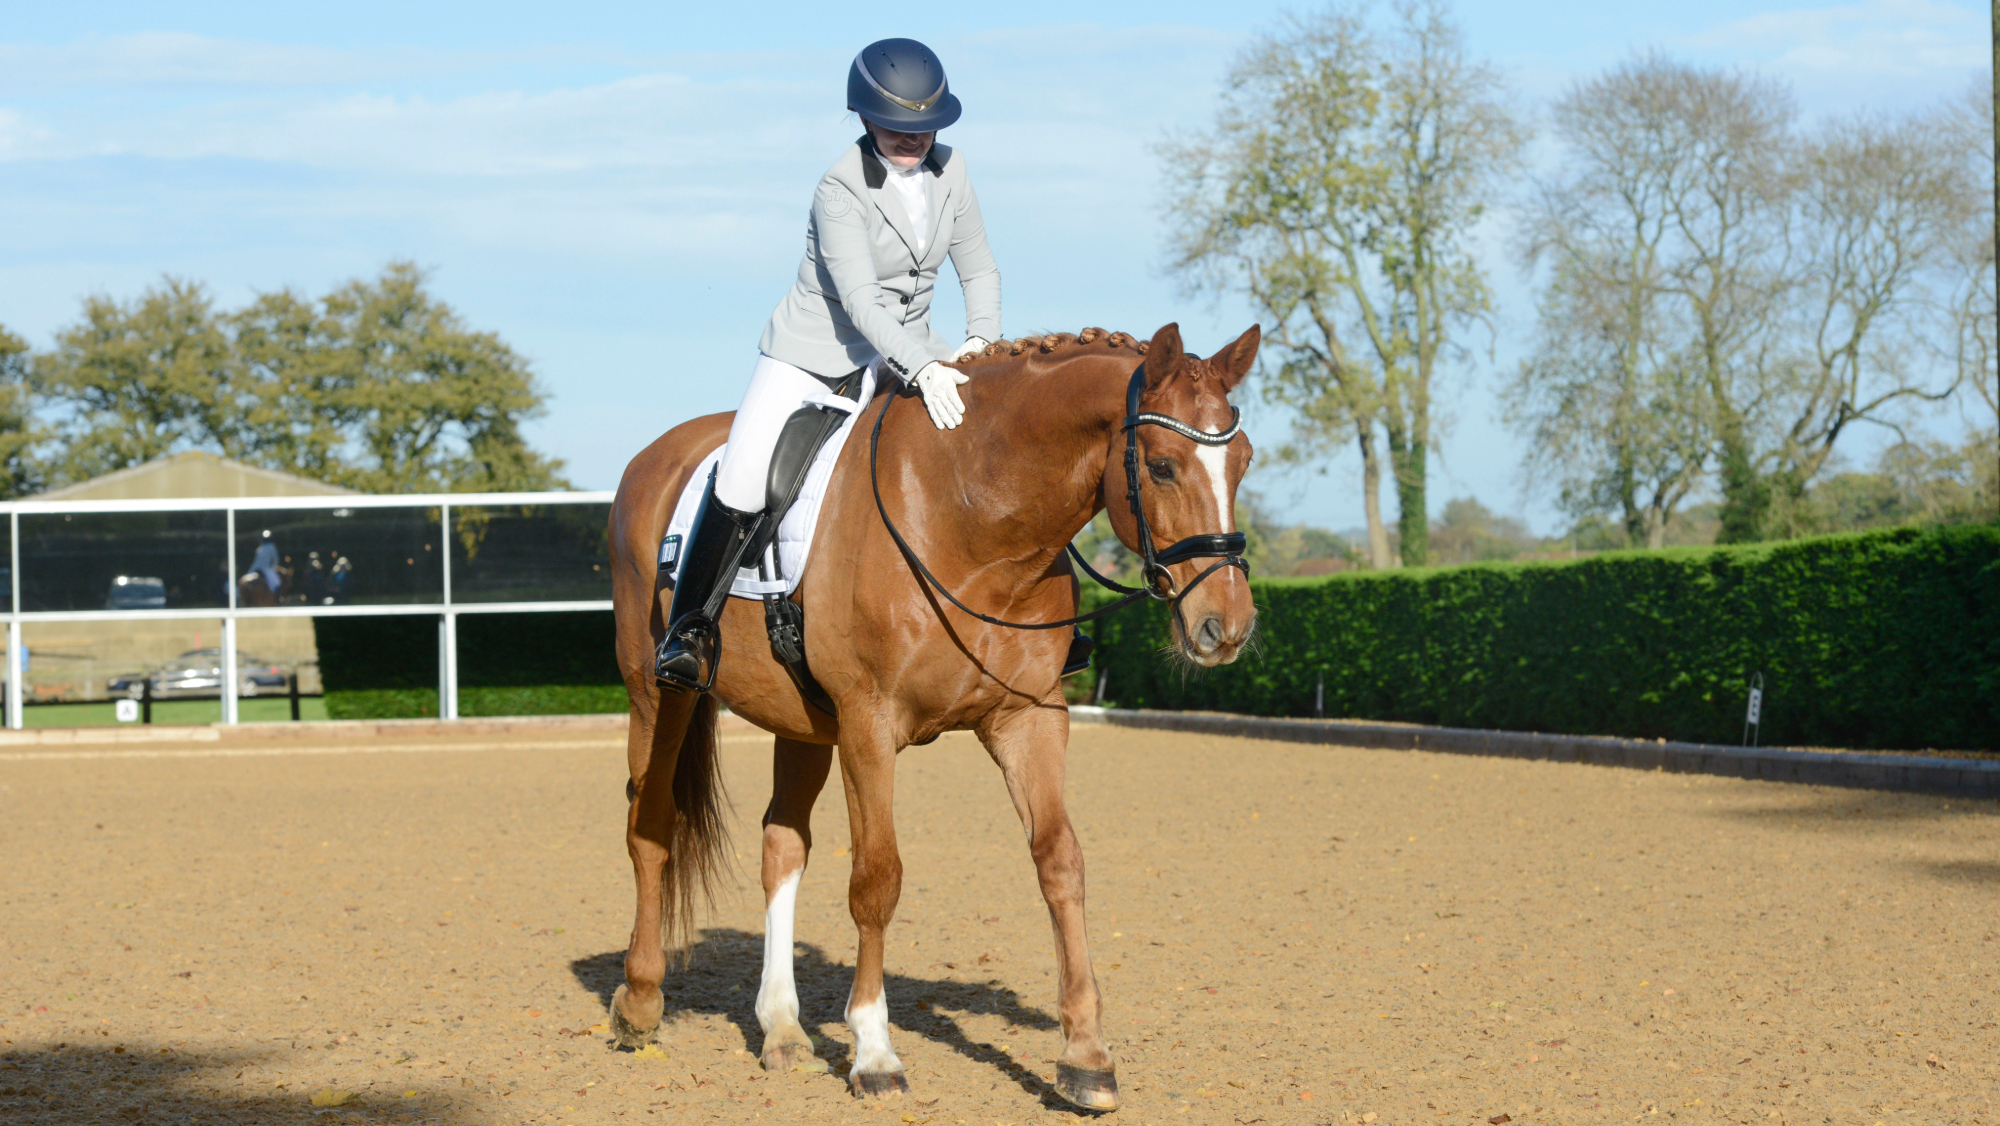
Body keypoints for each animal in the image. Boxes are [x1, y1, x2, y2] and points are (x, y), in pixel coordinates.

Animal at [604, 322, 1260, 1110]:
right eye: (1161, 467)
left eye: (1244, 463)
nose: (1227, 626)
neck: (972, 516)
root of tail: (656, 454)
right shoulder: (869, 724)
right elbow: (877, 880)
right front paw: (874, 1051)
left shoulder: (1030, 719)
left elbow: (1060, 862)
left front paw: (1086, 1056)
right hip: (657, 693)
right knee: (650, 826)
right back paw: (640, 1003)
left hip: (803, 724)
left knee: (781, 845)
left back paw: (783, 1029)